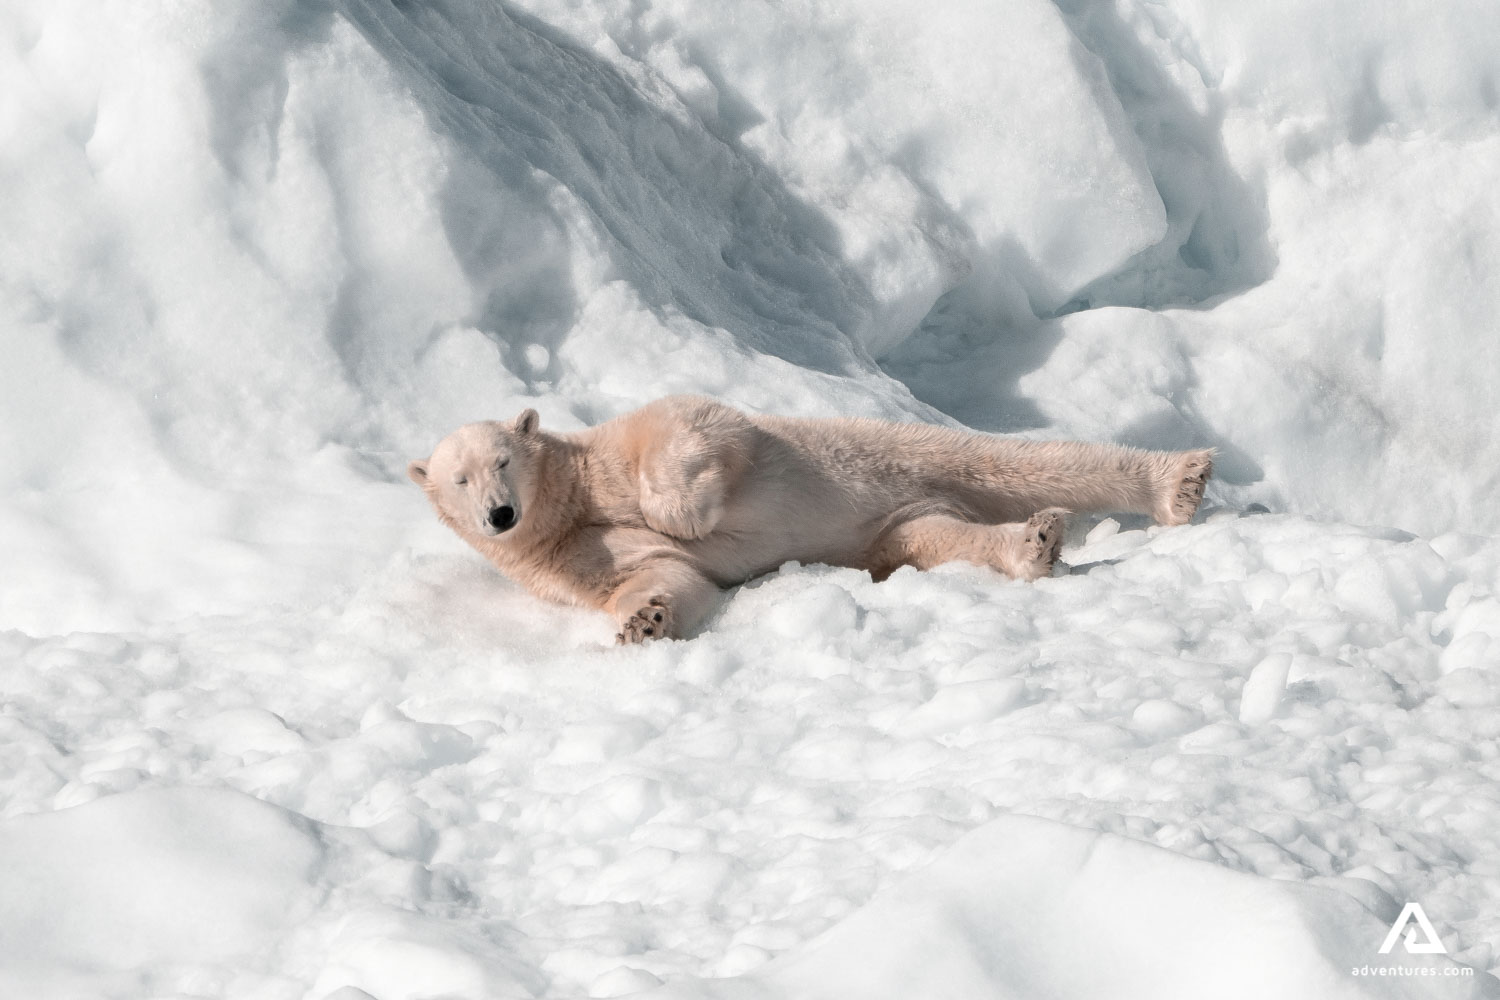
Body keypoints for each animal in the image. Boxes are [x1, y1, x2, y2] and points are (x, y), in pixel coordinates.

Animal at [407, 395, 1212, 644]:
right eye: (458, 480)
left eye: (503, 459)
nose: (501, 515)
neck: (569, 501)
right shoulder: (568, 559)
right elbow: (661, 575)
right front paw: (644, 622)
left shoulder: (621, 446)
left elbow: (694, 425)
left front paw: (685, 513)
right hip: (899, 523)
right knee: (936, 537)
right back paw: (1035, 542)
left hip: (897, 450)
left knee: (1027, 460)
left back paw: (1179, 481)